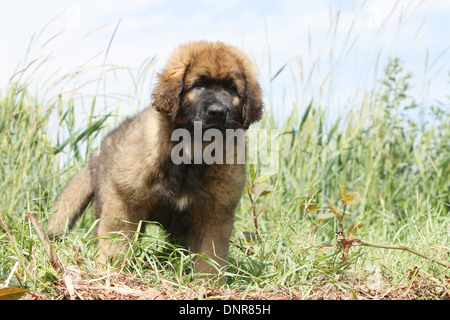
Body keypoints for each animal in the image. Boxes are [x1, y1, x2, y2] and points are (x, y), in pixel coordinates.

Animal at [46, 41, 264, 282]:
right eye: (199, 84)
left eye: (232, 89)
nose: (217, 112)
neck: (193, 151)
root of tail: (96, 152)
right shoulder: (124, 199)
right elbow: (116, 238)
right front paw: (110, 268)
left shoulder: (215, 214)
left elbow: (210, 254)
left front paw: (209, 282)